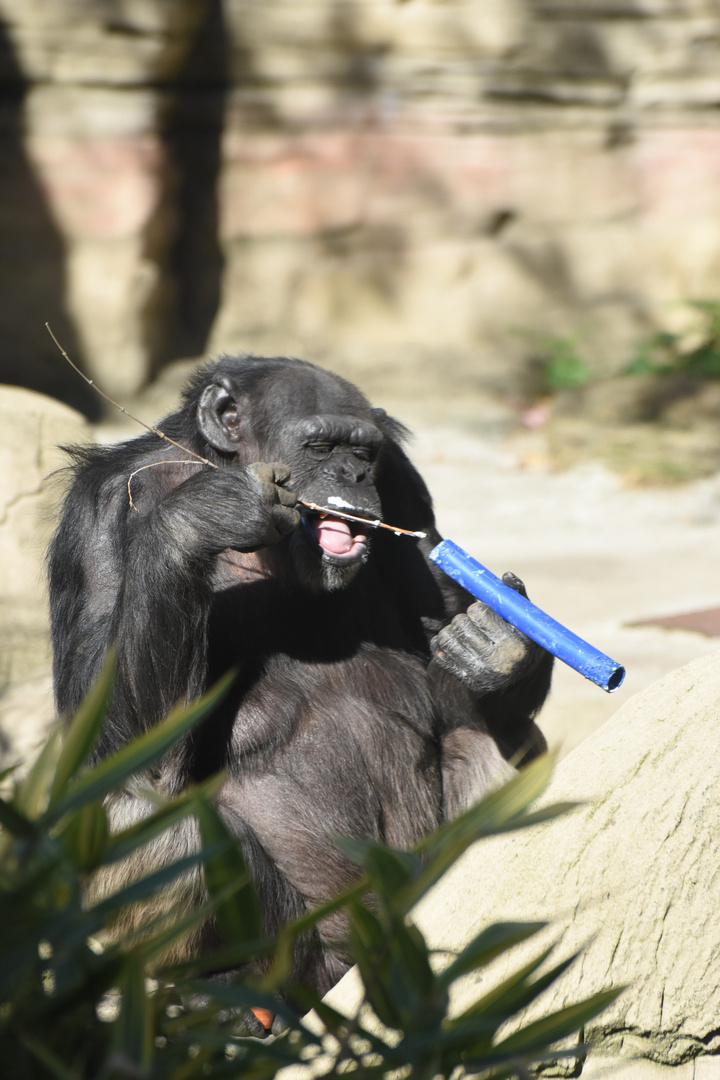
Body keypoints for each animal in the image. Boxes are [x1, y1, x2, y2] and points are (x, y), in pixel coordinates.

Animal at [47, 354, 552, 1010]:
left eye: (363, 452)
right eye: (319, 446)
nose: (351, 474)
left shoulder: (405, 489)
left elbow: (442, 644)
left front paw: (500, 639)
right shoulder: (100, 511)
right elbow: (110, 747)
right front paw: (203, 515)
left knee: (502, 740)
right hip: (300, 956)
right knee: (130, 814)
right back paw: (222, 994)